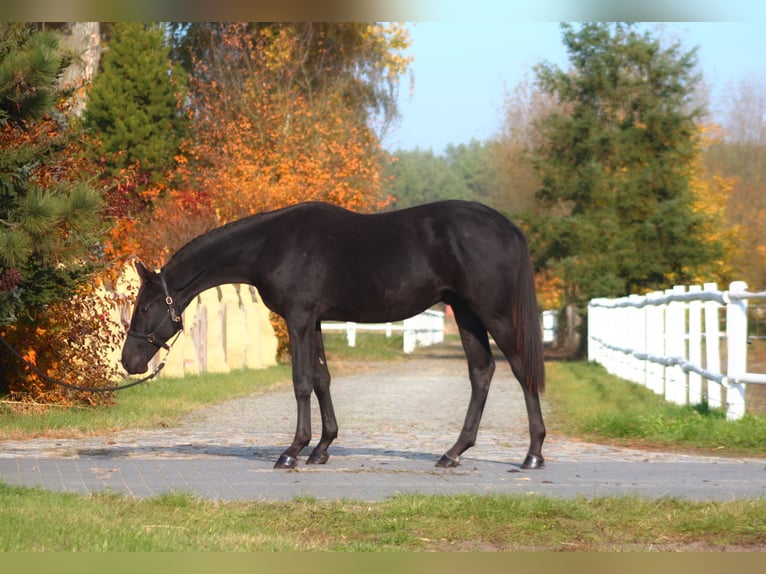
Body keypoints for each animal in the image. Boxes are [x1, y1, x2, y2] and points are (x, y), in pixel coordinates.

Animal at [121, 202, 544, 472]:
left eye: (145, 307)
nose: (129, 361)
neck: (272, 244)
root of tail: (508, 227)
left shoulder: (299, 318)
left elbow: (302, 382)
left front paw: (292, 451)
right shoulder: (316, 321)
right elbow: (322, 379)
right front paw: (322, 448)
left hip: (494, 313)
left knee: (521, 370)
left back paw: (533, 454)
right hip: (467, 314)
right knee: (482, 372)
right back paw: (453, 452)